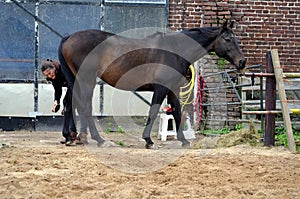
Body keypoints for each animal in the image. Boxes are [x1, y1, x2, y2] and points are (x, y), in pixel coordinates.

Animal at [58, 21, 246, 148]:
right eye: (227, 39)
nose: (242, 62)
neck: (175, 49)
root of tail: (69, 38)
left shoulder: (173, 90)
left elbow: (177, 112)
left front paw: (184, 140)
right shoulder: (161, 88)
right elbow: (154, 111)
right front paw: (148, 140)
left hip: (76, 81)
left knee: (69, 104)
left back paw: (70, 137)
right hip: (86, 81)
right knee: (84, 107)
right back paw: (98, 139)